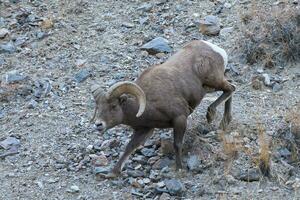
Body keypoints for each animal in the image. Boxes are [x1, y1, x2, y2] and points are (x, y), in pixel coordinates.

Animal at [90, 39, 236, 177]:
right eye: (98, 107)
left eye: (113, 106)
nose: (98, 125)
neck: (149, 101)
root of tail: (216, 49)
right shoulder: (144, 129)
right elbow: (130, 147)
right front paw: (113, 173)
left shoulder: (180, 119)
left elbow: (177, 144)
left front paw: (179, 169)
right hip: (210, 87)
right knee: (230, 87)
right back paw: (225, 122)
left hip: (213, 81)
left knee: (230, 88)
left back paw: (211, 115)